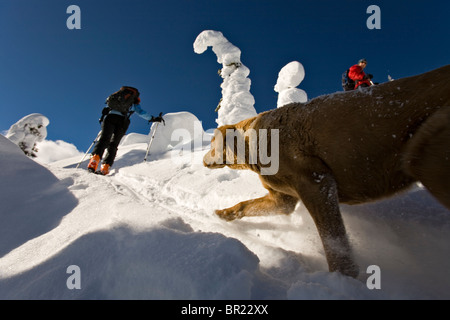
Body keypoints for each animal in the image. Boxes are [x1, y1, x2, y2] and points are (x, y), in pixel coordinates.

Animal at [203, 65, 450, 278]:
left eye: (213, 143)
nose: (204, 159)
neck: (254, 142)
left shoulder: (316, 183)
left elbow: (334, 242)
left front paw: (345, 279)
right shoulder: (283, 199)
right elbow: (245, 205)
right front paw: (222, 214)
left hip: (426, 152)